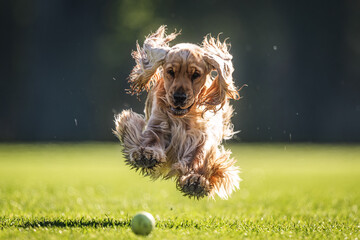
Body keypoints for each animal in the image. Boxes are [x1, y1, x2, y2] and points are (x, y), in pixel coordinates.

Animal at [113, 25, 242, 200]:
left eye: (195, 74)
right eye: (170, 71)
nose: (179, 97)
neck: (183, 118)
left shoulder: (202, 136)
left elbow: (200, 155)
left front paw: (196, 180)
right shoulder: (157, 123)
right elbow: (151, 138)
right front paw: (146, 155)